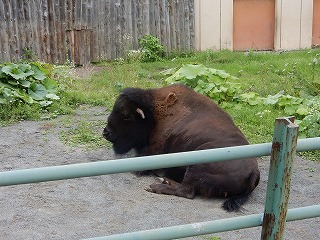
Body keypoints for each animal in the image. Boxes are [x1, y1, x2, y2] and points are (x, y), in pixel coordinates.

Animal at [102, 84, 260, 212]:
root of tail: (254, 171)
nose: (106, 133)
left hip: (196, 164)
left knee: (186, 191)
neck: (155, 115)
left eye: (126, 116)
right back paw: (163, 180)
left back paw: (155, 186)